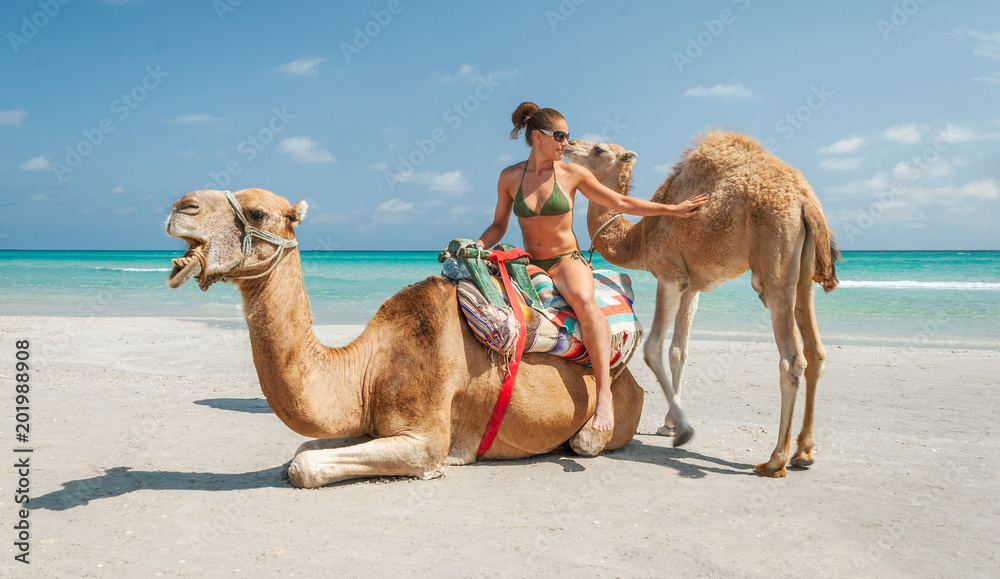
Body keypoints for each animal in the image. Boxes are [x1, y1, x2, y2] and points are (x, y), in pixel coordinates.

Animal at [164, 188, 644, 488]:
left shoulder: (424, 440)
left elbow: (303, 464)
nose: (181, 205)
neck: (368, 367)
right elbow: (304, 446)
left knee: (584, 440)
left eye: (257, 213)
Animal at [564, 132, 839, 477]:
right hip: (804, 274)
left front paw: (682, 430)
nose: (568, 143)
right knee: (816, 351)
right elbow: (678, 351)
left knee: (791, 360)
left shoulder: (669, 274)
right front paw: (669, 423)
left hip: (773, 266)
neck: (639, 236)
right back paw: (803, 452)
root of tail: (806, 202)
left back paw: (774, 460)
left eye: (599, 149)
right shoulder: (692, 286)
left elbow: (653, 348)